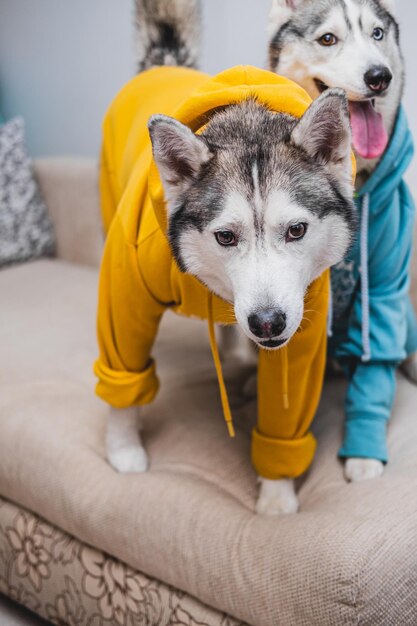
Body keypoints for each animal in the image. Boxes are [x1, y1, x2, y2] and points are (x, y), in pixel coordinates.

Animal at [96, 0, 356, 512]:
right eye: (225, 237)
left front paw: (276, 497)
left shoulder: (305, 318)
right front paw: (123, 449)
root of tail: (162, 62)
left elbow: (285, 406)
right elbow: (123, 368)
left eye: (297, 230)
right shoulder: (126, 282)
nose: (267, 323)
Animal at [266, 0, 416, 478]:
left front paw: (365, 452)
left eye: (377, 34)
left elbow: (375, 367)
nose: (379, 76)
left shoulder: (385, 291)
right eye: (328, 38)